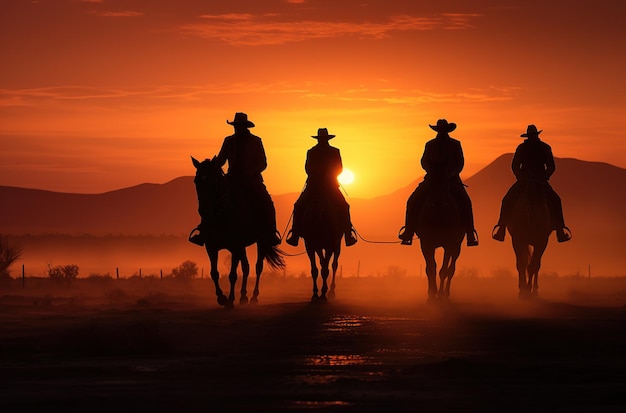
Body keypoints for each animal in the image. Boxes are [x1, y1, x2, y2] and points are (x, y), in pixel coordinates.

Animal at [191, 156, 284, 308]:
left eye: (212, 181)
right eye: (196, 181)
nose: (204, 211)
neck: (222, 217)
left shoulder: (235, 247)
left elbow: (232, 275)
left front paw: (229, 300)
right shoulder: (211, 248)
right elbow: (214, 273)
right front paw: (221, 297)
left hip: (261, 241)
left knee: (258, 267)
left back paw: (253, 297)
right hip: (242, 247)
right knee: (246, 267)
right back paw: (243, 296)